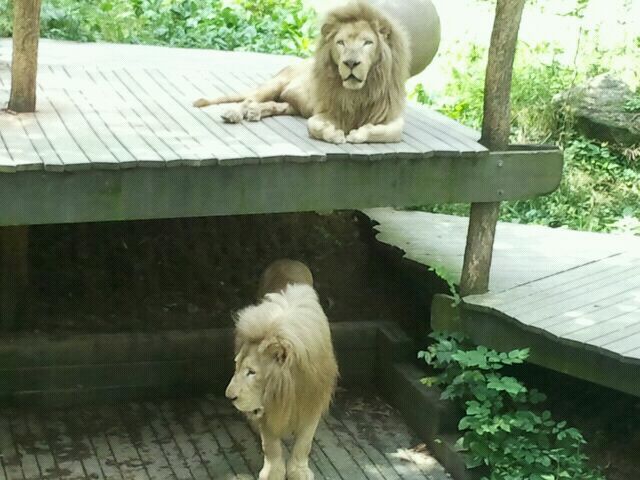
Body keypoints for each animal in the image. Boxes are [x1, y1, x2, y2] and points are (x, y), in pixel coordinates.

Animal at [193, 1, 411, 144]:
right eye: (341, 43)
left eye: (367, 43)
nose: (350, 63)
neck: (359, 92)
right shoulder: (327, 111)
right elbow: (314, 126)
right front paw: (335, 135)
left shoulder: (391, 118)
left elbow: (387, 133)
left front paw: (358, 134)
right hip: (274, 84)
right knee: (248, 99)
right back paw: (235, 113)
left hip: (293, 104)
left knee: (275, 105)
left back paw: (255, 112)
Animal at [226, 260, 338, 480]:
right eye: (237, 366)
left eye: (252, 372)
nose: (229, 397)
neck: (291, 385)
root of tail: (288, 260)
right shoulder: (269, 403)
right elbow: (270, 445)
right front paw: (273, 473)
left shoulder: (313, 400)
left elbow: (304, 443)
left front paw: (299, 471)